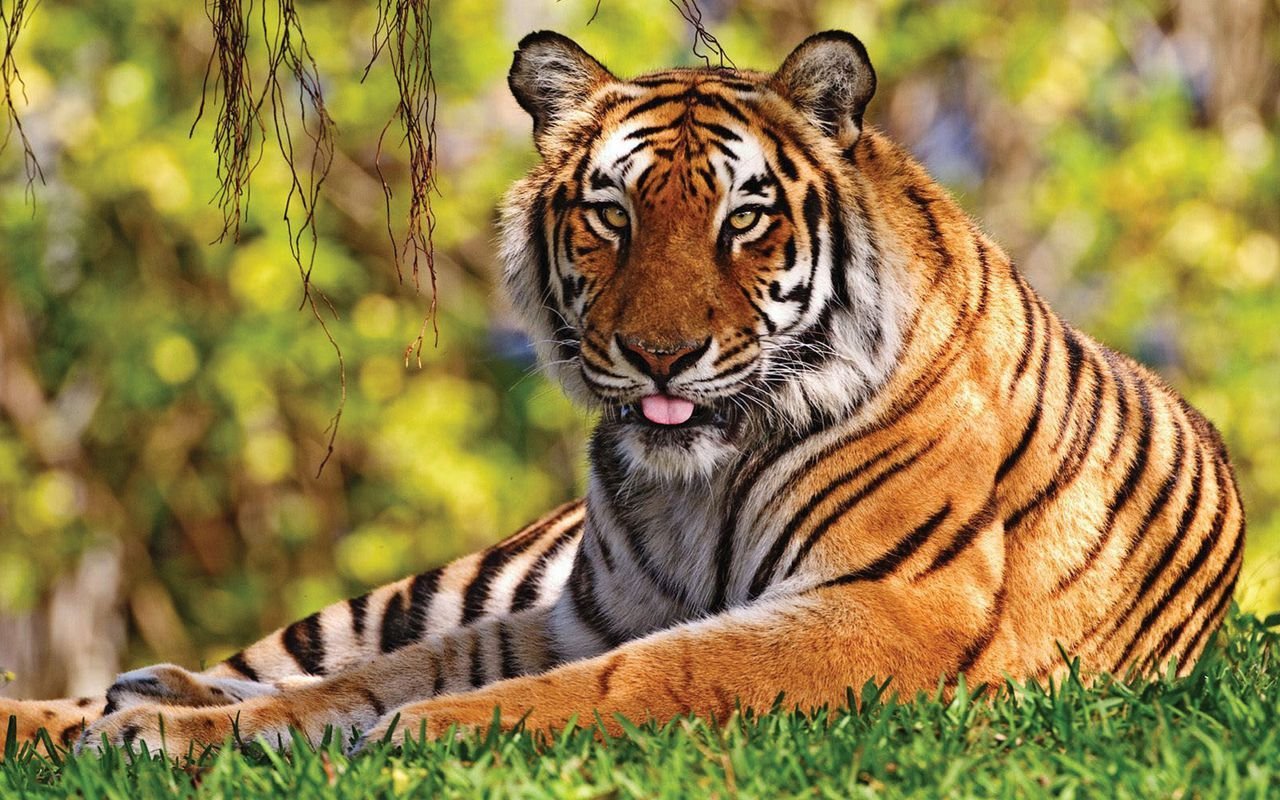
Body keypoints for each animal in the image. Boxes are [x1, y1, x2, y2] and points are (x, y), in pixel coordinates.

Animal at [0, 29, 1245, 757]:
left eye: (743, 217)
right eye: (611, 213)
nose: (658, 354)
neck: (694, 481)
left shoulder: (884, 606)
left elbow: (639, 674)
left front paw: (416, 732)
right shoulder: (579, 607)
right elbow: (367, 676)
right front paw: (166, 730)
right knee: (286, 655)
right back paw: (108, 701)